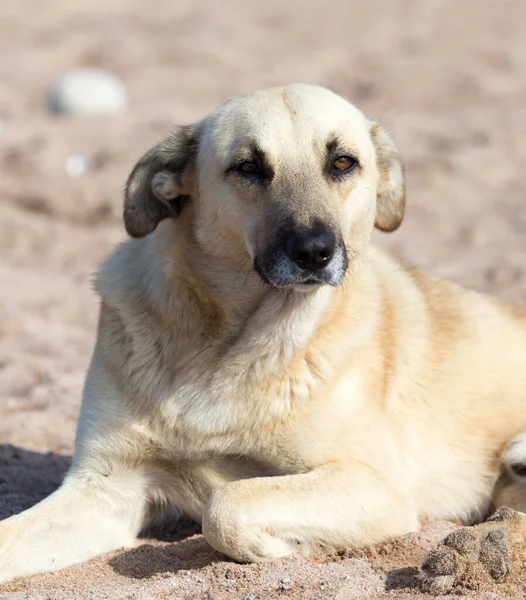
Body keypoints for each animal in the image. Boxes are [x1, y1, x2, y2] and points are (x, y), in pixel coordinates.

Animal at [1, 84, 526, 596]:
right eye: (248, 167)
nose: (314, 251)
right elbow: (10, 538)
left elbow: (226, 504)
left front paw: (276, 548)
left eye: (343, 162)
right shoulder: (107, 486)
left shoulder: (375, 485)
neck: (229, 345)